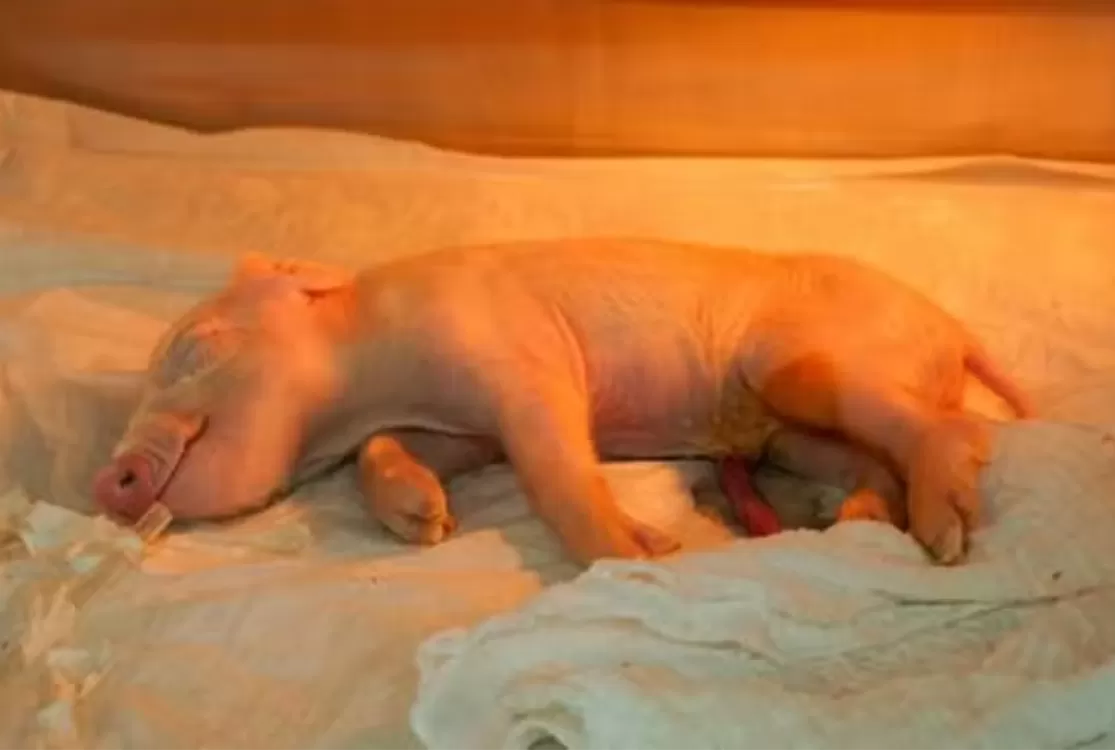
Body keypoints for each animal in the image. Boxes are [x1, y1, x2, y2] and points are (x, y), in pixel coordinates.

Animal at [92, 239, 1031, 565]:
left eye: (194, 348)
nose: (106, 483)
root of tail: (952, 330)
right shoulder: (456, 426)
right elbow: (388, 454)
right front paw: (424, 523)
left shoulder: (521, 362)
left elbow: (554, 466)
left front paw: (644, 553)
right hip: (788, 435)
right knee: (870, 459)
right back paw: (861, 519)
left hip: (796, 364)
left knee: (953, 428)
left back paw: (944, 533)